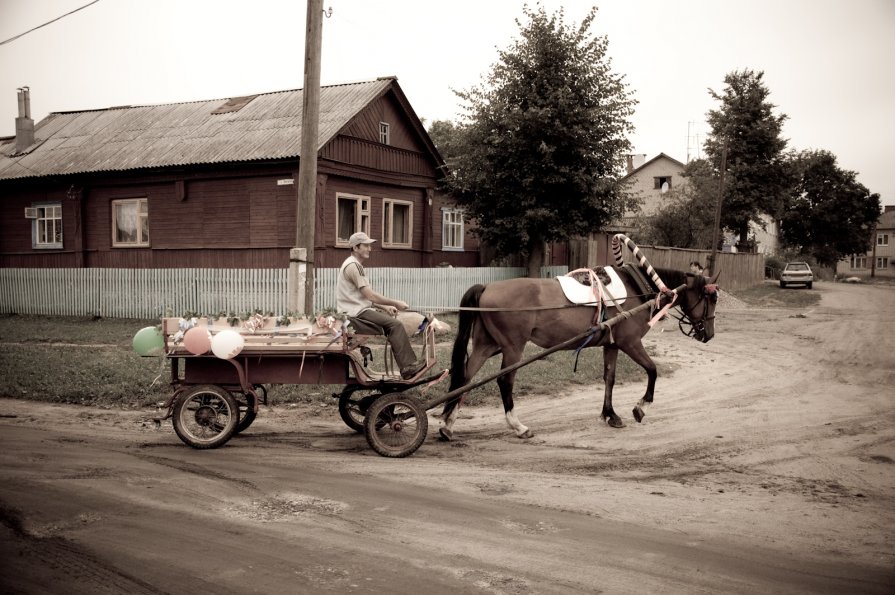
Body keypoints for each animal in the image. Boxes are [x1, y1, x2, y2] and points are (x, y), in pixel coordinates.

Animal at [440, 266, 720, 442]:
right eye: (712, 298)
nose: (709, 333)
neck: (637, 288)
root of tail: (487, 287)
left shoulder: (612, 345)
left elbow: (609, 378)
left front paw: (610, 414)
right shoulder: (630, 343)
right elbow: (652, 370)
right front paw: (641, 407)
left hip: (485, 345)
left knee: (464, 378)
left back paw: (447, 425)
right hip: (512, 348)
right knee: (504, 381)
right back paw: (518, 426)